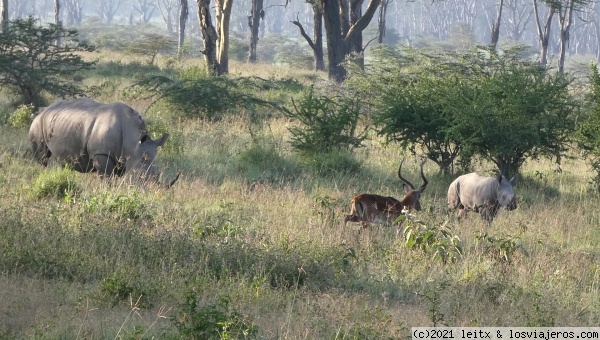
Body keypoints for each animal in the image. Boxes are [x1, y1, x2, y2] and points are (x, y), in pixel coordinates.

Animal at [30, 97, 171, 183]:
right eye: (140, 175)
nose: (151, 190)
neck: (133, 140)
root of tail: (42, 111)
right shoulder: (102, 154)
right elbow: (107, 179)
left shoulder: (122, 158)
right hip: (38, 123)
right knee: (42, 158)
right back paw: (40, 174)